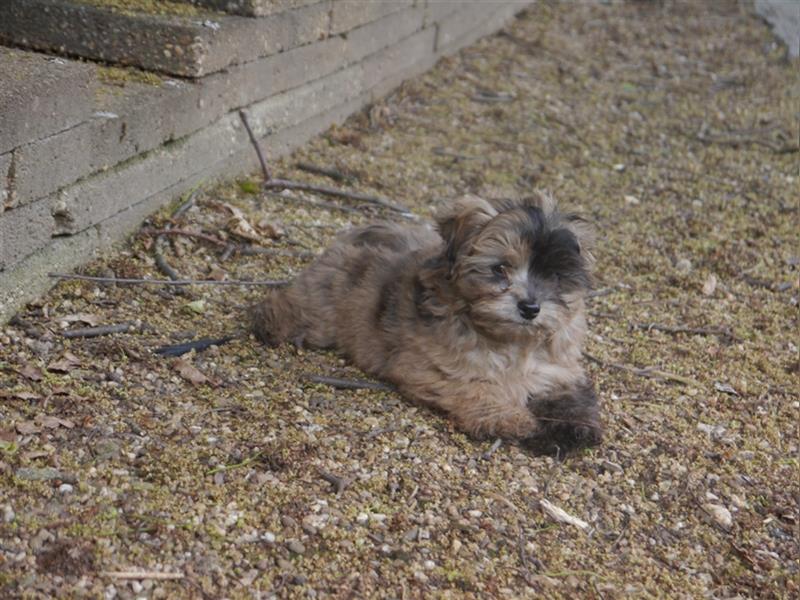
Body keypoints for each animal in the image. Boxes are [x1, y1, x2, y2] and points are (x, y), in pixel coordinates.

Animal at [250, 193, 600, 454]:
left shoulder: (555, 368)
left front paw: (574, 428)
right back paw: (272, 323)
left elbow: (565, 394)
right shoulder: (434, 368)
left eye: (554, 276)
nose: (530, 307)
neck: (508, 341)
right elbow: (475, 388)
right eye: (500, 268)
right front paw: (512, 419)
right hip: (323, 306)